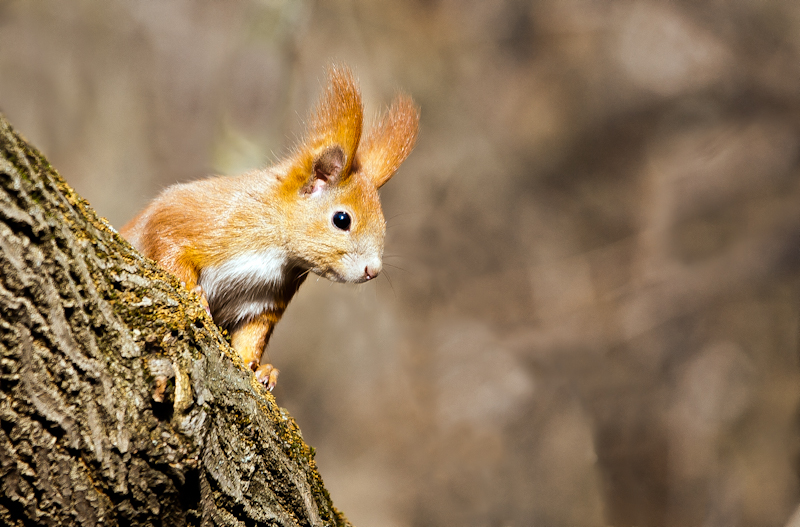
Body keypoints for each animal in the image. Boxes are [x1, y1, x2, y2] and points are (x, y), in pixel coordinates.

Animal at [121, 64, 418, 390]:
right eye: (342, 220)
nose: (373, 271)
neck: (275, 251)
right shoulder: (194, 217)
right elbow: (165, 240)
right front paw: (193, 291)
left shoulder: (261, 301)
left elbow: (252, 336)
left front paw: (260, 370)